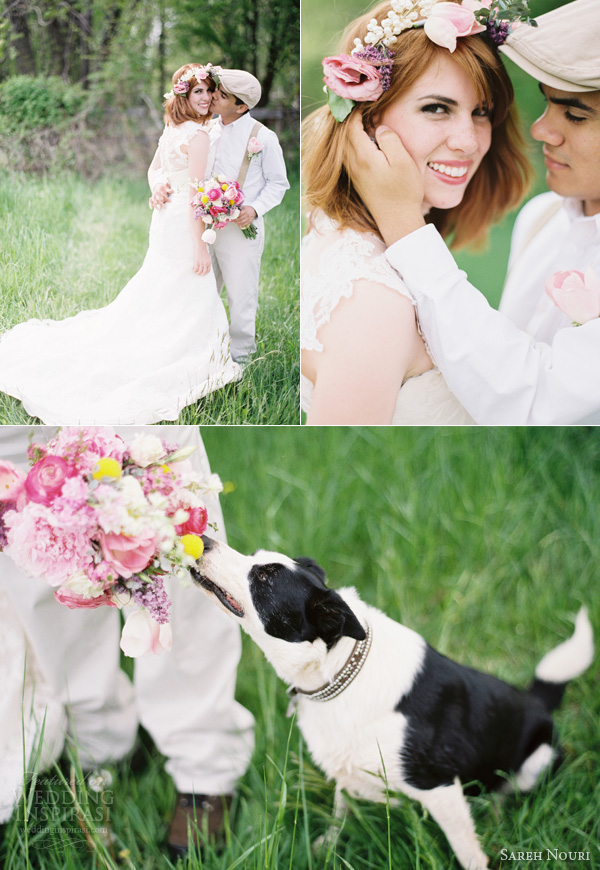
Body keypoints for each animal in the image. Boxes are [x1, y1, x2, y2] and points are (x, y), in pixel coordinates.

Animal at [191, 540, 592, 870]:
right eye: (254, 556)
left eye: (264, 577)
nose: (205, 539)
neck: (340, 668)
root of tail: (535, 699)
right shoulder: (348, 769)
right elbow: (340, 812)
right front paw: (325, 848)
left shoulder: (438, 785)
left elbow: (466, 850)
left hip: (537, 760)